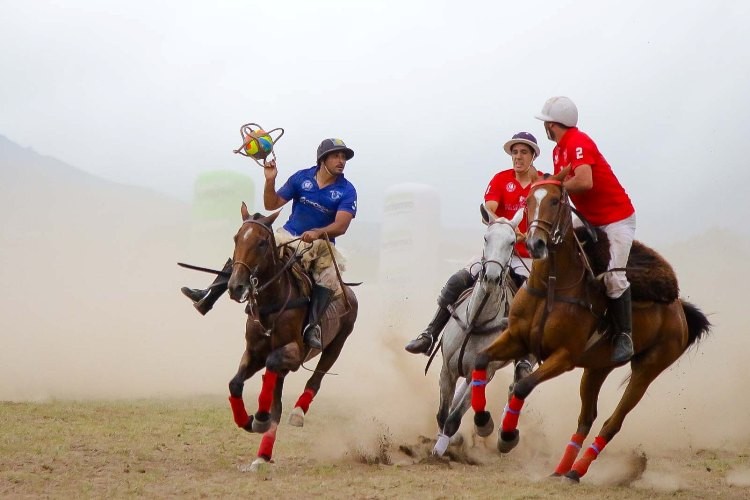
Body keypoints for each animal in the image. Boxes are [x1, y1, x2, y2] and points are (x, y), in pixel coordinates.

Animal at [225, 203, 358, 472]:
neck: (271, 305)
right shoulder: (253, 352)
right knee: (276, 399)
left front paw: (260, 417)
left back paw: (297, 413)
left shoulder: (294, 354)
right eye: (236, 238)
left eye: (262, 243)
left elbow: (273, 365)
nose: (235, 287)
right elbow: (235, 383)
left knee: (314, 381)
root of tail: (348, 289)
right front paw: (248, 420)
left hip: (336, 345)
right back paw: (262, 455)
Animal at [432, 205, 536, 456]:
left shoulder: (485, 372)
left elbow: (454, 417)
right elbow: (442, 414)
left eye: (512, 241)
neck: (476, 321)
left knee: (517, 383)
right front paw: (443, 444)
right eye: (486, 237)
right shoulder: (446, 370)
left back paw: (505, 436)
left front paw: (444, 447)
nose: (490, 276)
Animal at [470, 167, 711, 482]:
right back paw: (562, 469)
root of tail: (679, 308)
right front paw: (482, 421)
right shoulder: (516, 338)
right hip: (597, 367)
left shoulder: (564, 357)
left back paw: (578, 470)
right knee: (587, 417)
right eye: (528, 202)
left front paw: (507, 437)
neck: (551, 285)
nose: (535, 244)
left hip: (648, 368)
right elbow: (480, 358)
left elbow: (522, 386)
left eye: (556, 200)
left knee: (613, 422)